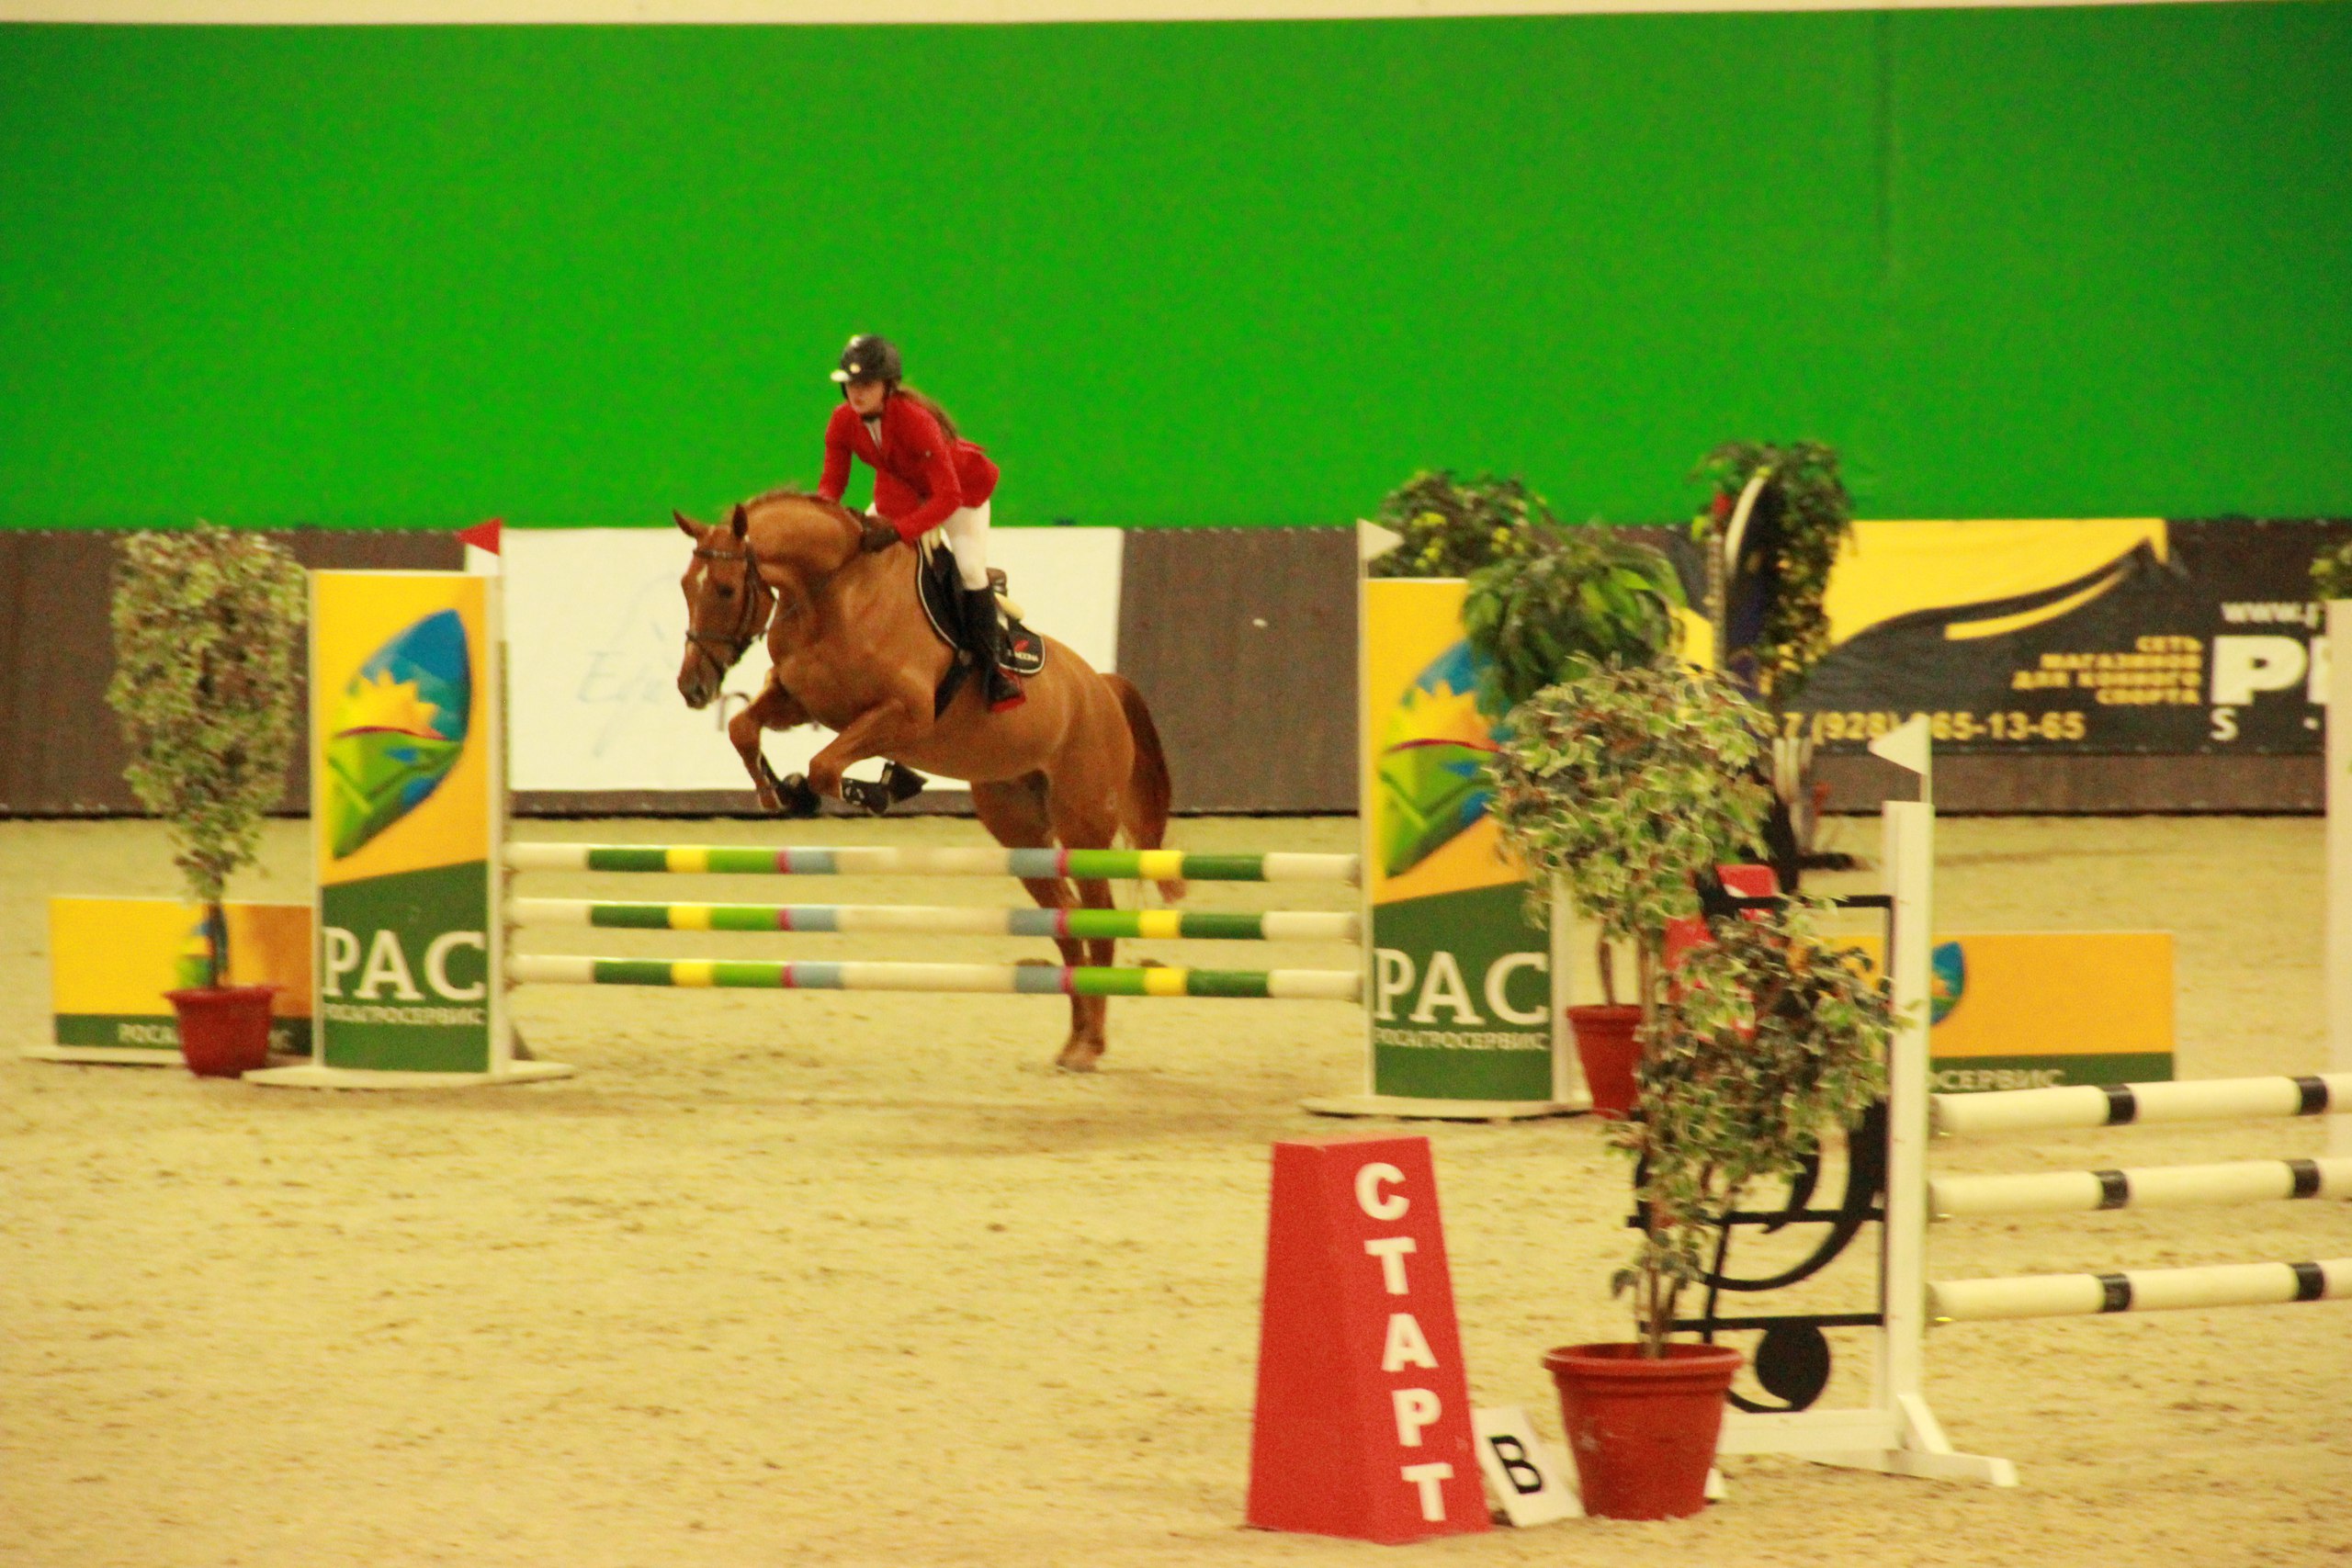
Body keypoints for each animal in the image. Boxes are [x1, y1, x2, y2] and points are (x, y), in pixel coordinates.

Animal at [672, 488, 1179, 1071]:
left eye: (726, 589)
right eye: (686, 586)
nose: (692, 688)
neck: (835, 593)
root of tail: (1101, 685)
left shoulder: (904, 714)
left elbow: (826, 766)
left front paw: (868, 788)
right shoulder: (800, 700)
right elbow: (742, 727)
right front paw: (779, 791)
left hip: (1084, 825)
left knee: (1098, 920)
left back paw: (1090, 1043)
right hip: (1020, 828)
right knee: (1067, 920)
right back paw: (1076, 1040)